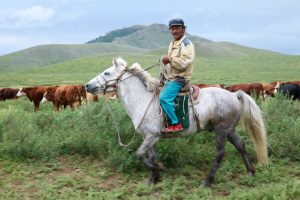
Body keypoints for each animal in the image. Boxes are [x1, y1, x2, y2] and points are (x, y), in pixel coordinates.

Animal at [85, 57, 268, 187]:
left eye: (107, 73)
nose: (87, 86)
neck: (143, 100)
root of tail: (234, 95)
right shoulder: (151, 137)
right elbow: (150, 156)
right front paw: (153, 178)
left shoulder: (151, 136)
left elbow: (140, 154)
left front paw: (159, 169)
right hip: (230, 130)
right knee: (241, 146)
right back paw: (250, 172)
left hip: (221, 130)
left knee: (220, 153)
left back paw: (207, 181)